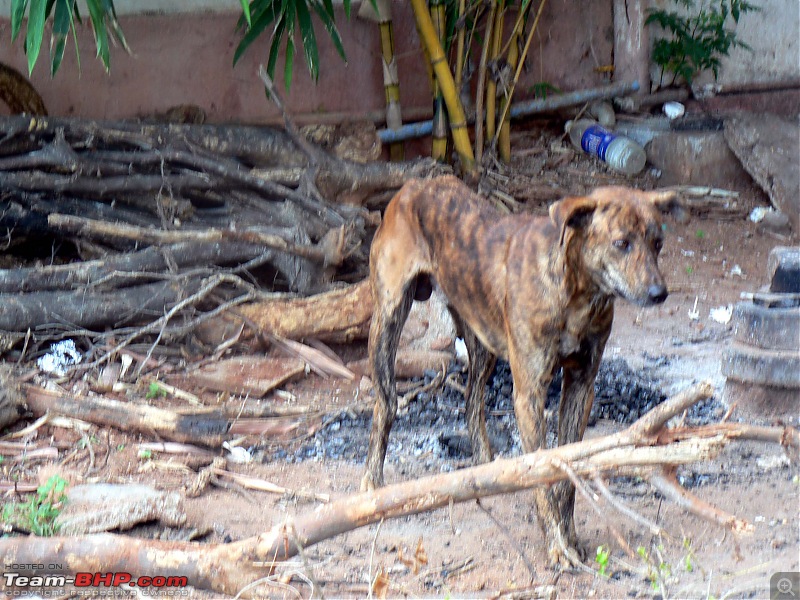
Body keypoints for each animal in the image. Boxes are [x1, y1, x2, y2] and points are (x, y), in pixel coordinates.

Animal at [362, 175, 680, 568]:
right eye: (622, 243)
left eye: (658, 243)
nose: (659, 293)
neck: (577, 295)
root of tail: (413, 186)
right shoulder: (529, 394)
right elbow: (541, 473)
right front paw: (556, 545)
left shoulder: (581, 387)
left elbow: (566, 473)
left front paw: (569, 537)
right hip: (388, 318)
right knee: (387, 403)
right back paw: (372, 484)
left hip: (481, 341)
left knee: (472, 402)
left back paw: (486, 472)